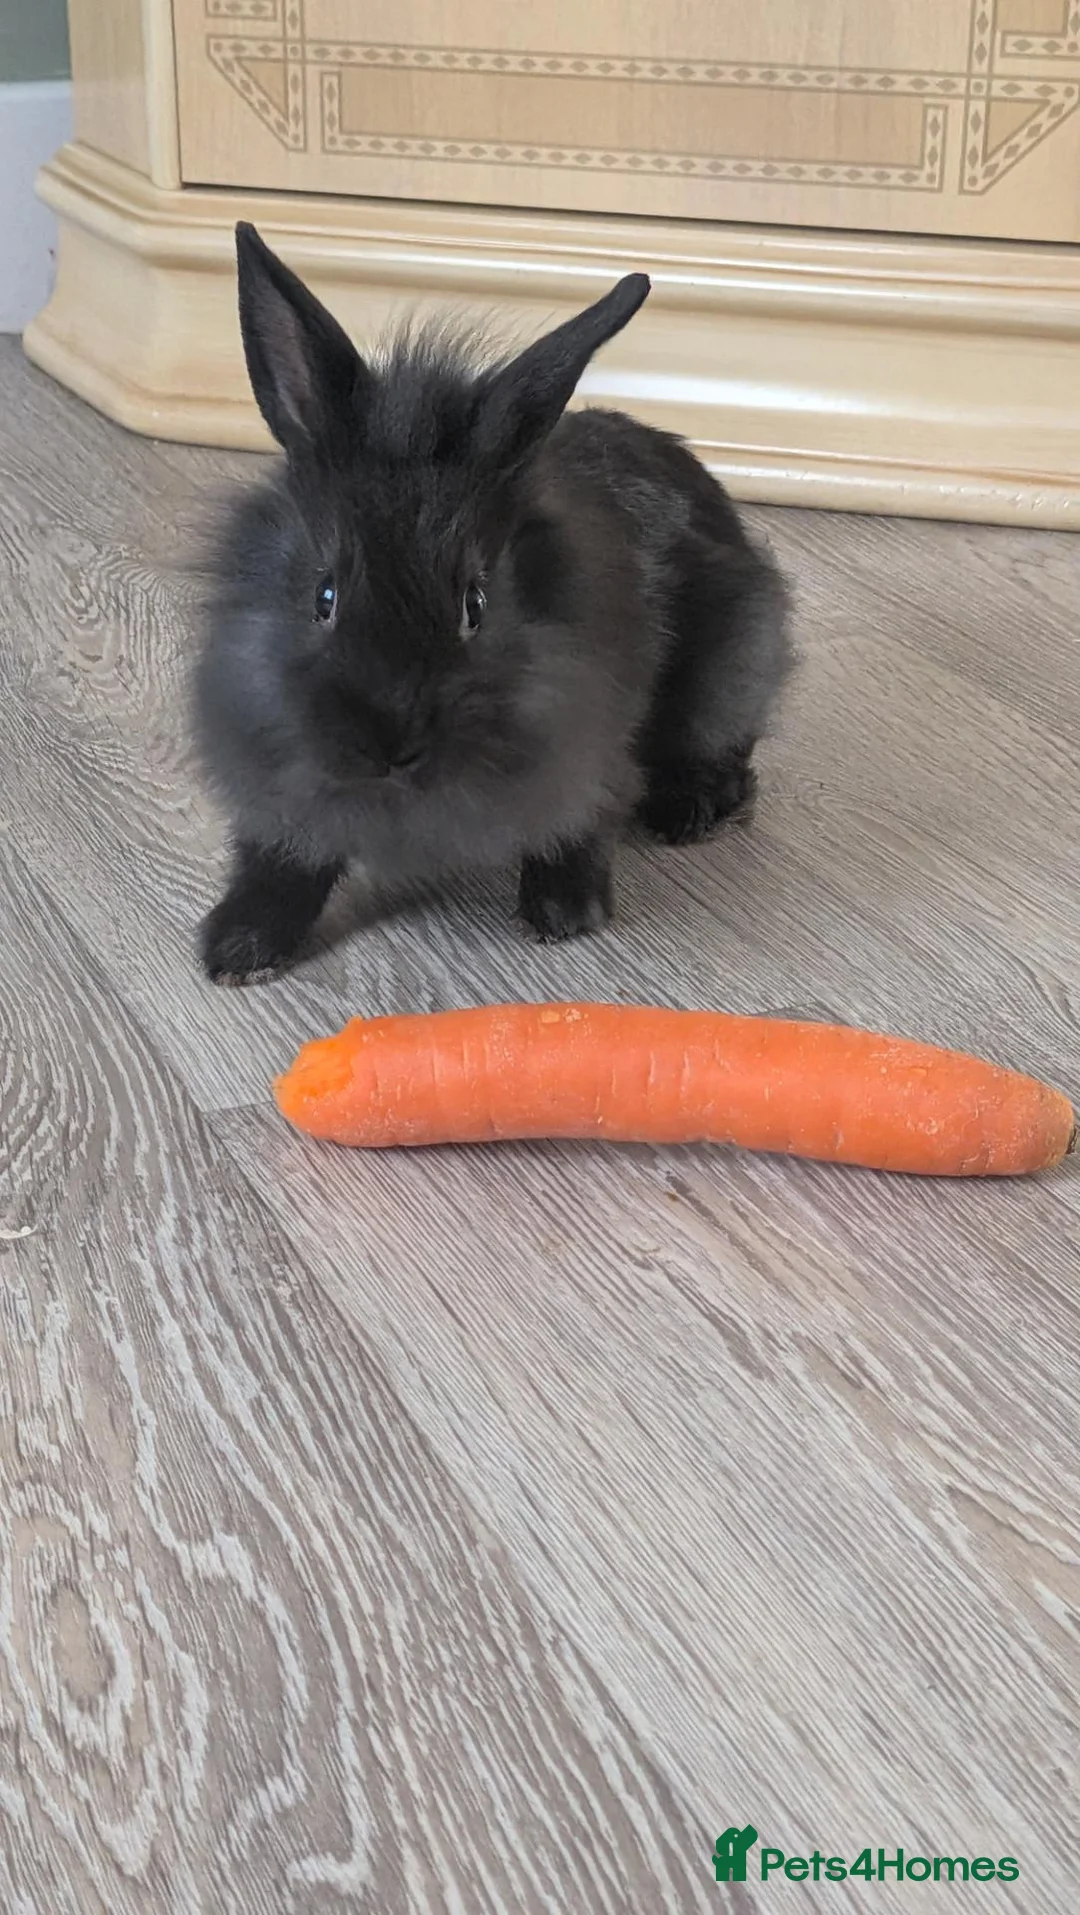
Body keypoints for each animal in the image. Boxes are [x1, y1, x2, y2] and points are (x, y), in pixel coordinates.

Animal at [193, 222, 793, 984]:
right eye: (323, 597)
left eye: (474, 604)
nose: (391, 744)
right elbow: (283, 863)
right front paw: (238, 950)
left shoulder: (586, 752)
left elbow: (575, 828)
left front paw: (564, 915)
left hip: (738, 657)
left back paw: (690, 812)